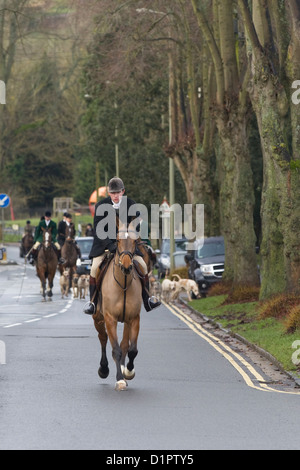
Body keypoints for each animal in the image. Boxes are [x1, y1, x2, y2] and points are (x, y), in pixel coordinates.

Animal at [92, 218, 143, 392]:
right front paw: (120, 379)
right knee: (103, 338)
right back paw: (103, 369)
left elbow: (132, 350)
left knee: (125, 344)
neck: (123, 283)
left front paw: (128, 372)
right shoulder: (110, 319)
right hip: (98, 318)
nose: (127, 266)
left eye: (135, 241)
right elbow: (115, 350)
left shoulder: (134, 319)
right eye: (118, 241)